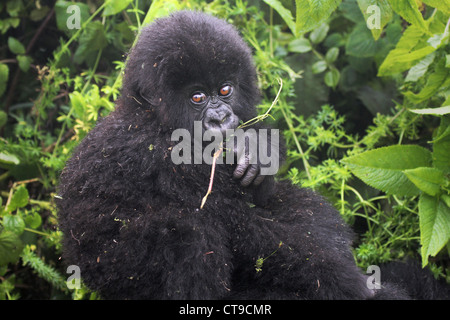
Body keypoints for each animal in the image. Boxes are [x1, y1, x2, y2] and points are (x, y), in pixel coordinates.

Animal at [57, 10, 408, 300]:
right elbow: (246, 226)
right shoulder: (167, 158)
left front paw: (256, 148)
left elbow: (267, 202)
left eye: (225, 90)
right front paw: (359, 289)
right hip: (112, 272)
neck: (148, 116)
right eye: (198, 97)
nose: (221, 118)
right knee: (187, 233)